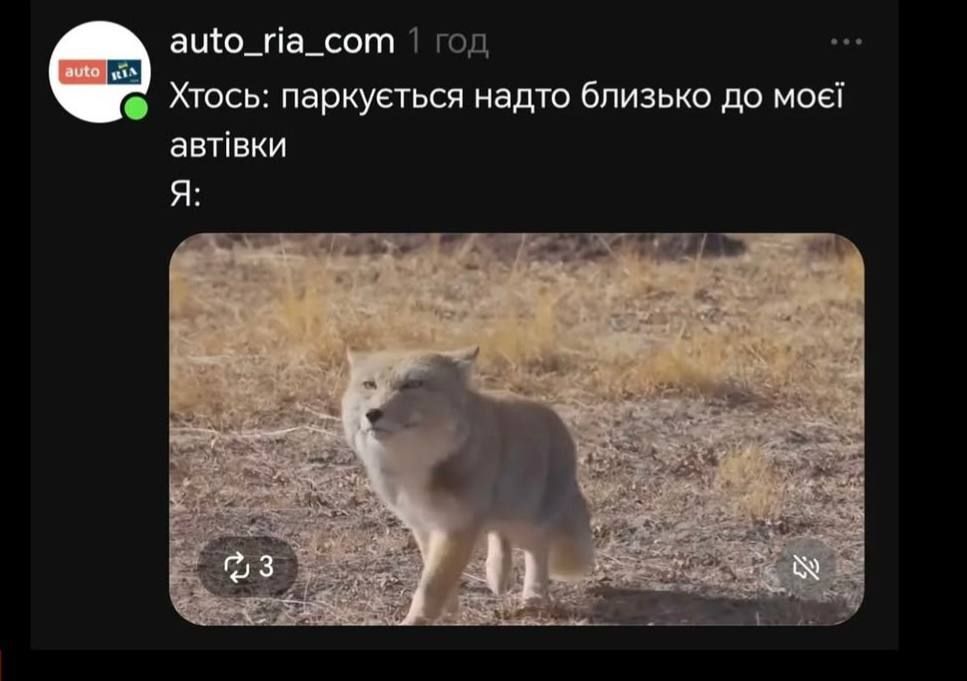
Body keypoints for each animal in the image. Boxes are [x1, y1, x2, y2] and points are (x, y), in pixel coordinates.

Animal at [340, 345, 594, 625]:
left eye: (412, 384)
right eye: (369, 385)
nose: (372, 414)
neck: (415, 466)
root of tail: (556, 421)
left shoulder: (456, 527)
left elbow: (432, 585)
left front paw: (418, 619)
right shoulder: (423, 525)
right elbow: (439, 577)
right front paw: (448, 610)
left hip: (524, 523)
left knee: (538, 549)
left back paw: (534, 596)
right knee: (500, 535)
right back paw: (497, 573)